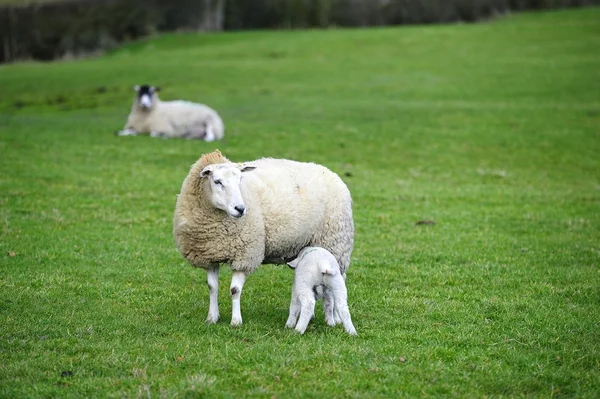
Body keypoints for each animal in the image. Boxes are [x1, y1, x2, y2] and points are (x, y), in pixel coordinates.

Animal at [171, 150, 354, 328]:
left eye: (240, 180)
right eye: (217, 181)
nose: (240, 208)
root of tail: (331, 173)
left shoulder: (245, 255)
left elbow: (234, 290)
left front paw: (236, 321)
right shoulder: (210, 256)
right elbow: (212, 287)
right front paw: (212, 318)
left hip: (336, 244)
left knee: (339, 283)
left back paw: (336, 318)